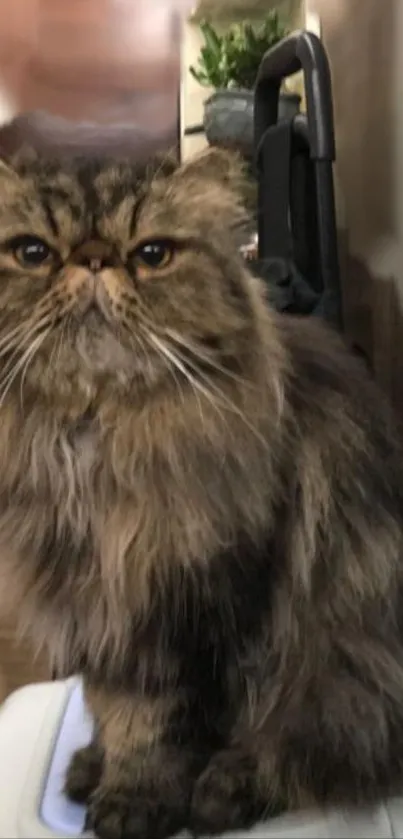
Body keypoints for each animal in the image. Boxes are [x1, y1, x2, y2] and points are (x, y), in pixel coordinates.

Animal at [0, 151, 403, 839]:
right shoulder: (101, 615)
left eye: (152, 253)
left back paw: (226, 793)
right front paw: (103, 769)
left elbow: (161, 726)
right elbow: (112, 709)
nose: (95, 259)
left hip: (351, 676)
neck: (93, 440)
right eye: (32, 252)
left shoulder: (199, 607)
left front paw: (138, 803)